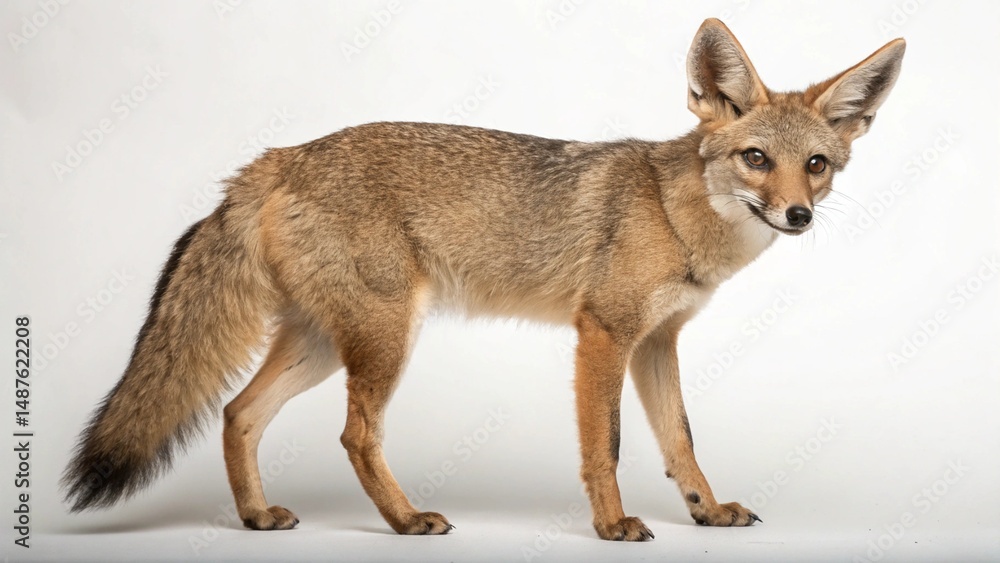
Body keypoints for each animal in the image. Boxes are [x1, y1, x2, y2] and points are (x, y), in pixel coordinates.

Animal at [62, 18, 905, 541]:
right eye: (755, 158)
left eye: (817, 164)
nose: (797, 214)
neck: (675, 214)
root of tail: (278, 156)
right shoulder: (602, 334)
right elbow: (607, 444)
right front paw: (611, 525)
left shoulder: (655, 342)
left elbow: (680, 441)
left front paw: (705, 509)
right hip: (383, 340)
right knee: (353, 433)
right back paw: (404, 521)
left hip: (326, 345)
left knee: (238, 412)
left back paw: (256, 516)